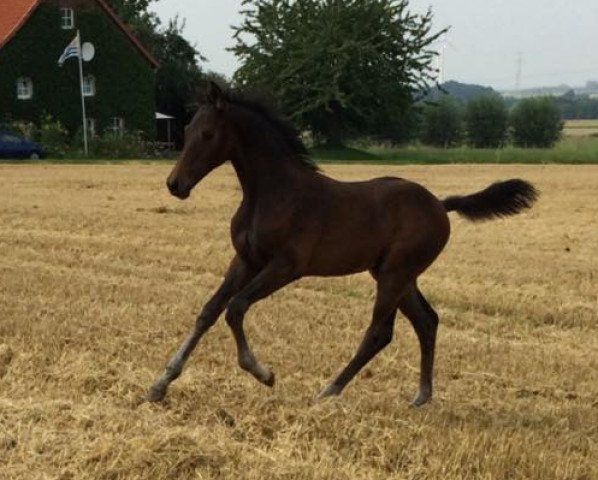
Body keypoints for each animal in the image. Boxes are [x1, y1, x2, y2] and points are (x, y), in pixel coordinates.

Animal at [148, 84, 540, 406]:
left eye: (208, 134)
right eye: (186, 130)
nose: (175, 184)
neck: (270, 193)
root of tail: (441, 205)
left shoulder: (286, 266)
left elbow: (236, 307)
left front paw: (263, 374)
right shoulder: (245, 260)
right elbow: (209, 312)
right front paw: (161, 383)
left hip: (396, 274)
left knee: (380, 332)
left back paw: (329, 391)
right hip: (396, 274)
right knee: (427, 321)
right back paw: (421, 396)